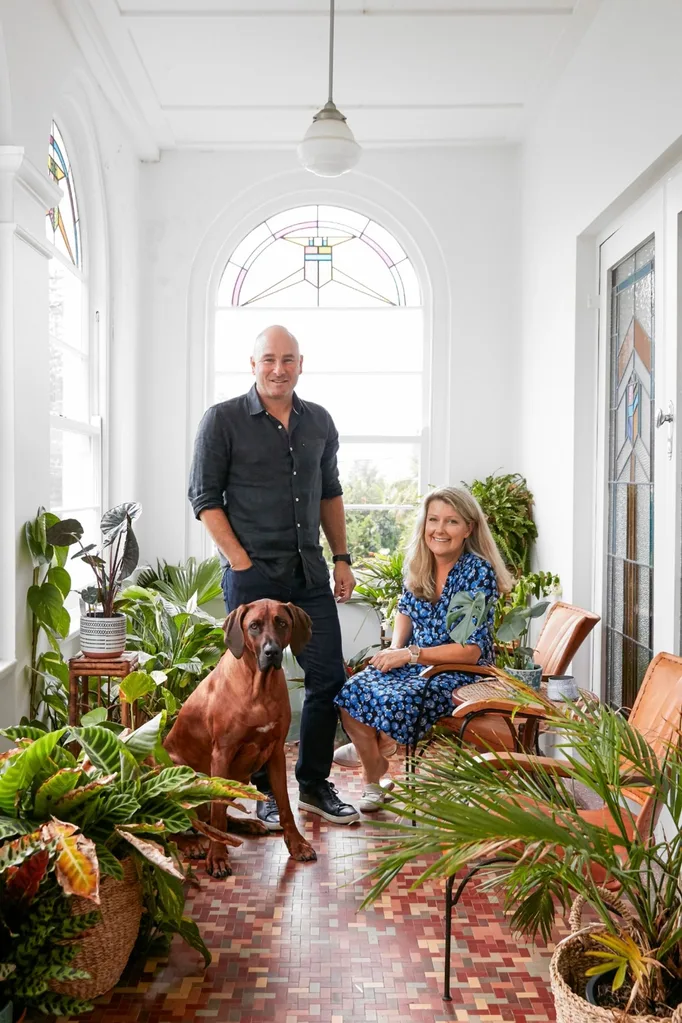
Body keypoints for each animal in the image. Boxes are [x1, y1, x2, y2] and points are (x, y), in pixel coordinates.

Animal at [163, 597, 319, 879]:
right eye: (254, 626)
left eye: (282, 623)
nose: (271, 652)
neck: (259, 686)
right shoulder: (221, 754)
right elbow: (216, 814)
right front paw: (217, 857)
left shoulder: (276, 752)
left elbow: (285, 805)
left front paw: (297, 844)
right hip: (176, 771)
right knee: (169, 824)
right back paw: (191, 844)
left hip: (240, 776)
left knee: (211, 816)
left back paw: (245, 825)